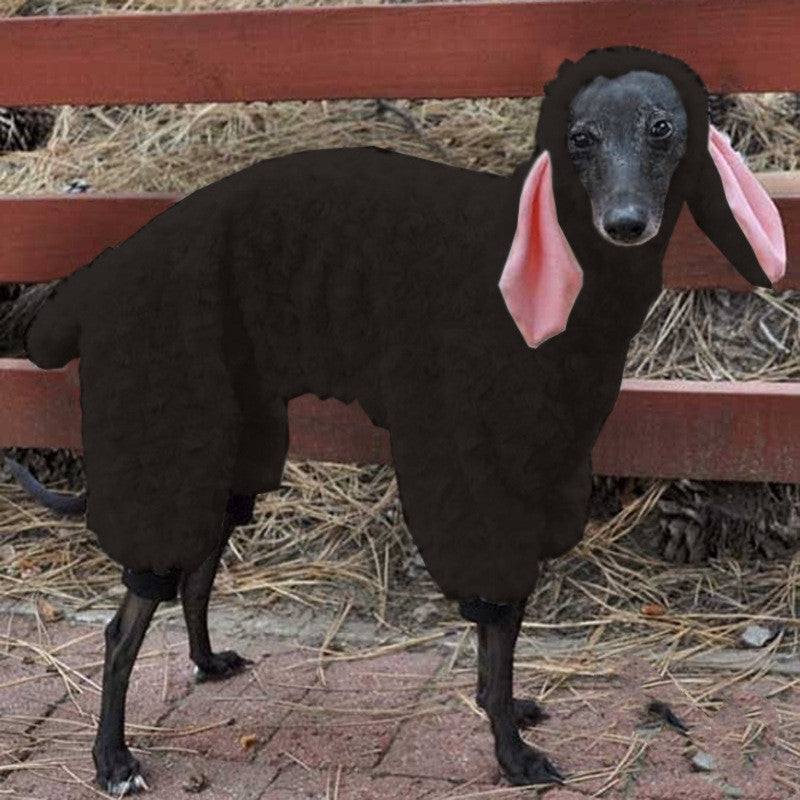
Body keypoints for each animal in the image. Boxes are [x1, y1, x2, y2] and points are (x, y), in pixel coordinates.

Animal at [17, 46, 786, 792]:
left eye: (662, 128)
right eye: (580, 139)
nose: (625, 224)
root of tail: (96, 280)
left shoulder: (533, 477)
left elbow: (502, 635)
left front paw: (508, 709)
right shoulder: (479, 483)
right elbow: (497, 628)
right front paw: (512, 754)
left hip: (230, 447)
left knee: (196, 575)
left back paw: (205, 664)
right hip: (172, 441)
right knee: (123, 631)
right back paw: (112, 759)